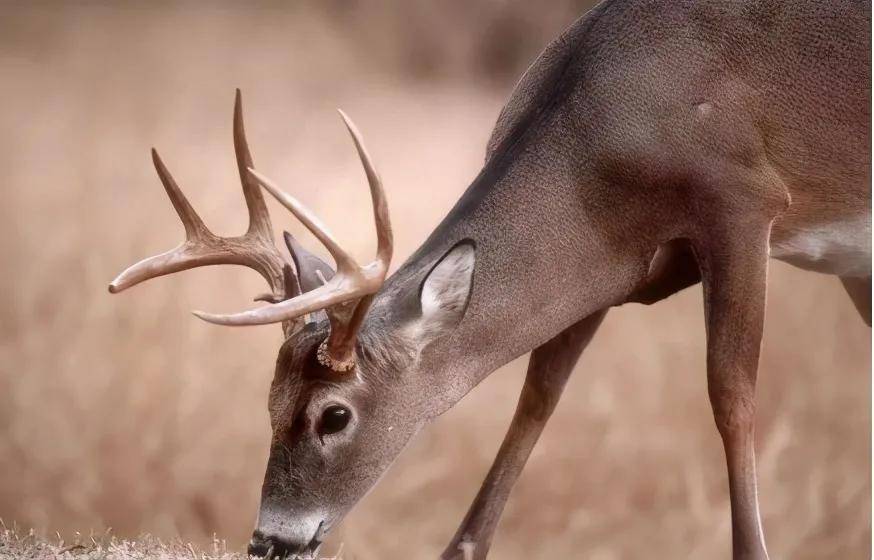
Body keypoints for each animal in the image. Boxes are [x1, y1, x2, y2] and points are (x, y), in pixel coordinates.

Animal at [109, 2, 864, 556]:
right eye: (268, 403)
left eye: (334, 415)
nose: (269, 540)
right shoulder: (605, 268)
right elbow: (537, 397)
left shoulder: (743, 203)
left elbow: (731, 395)